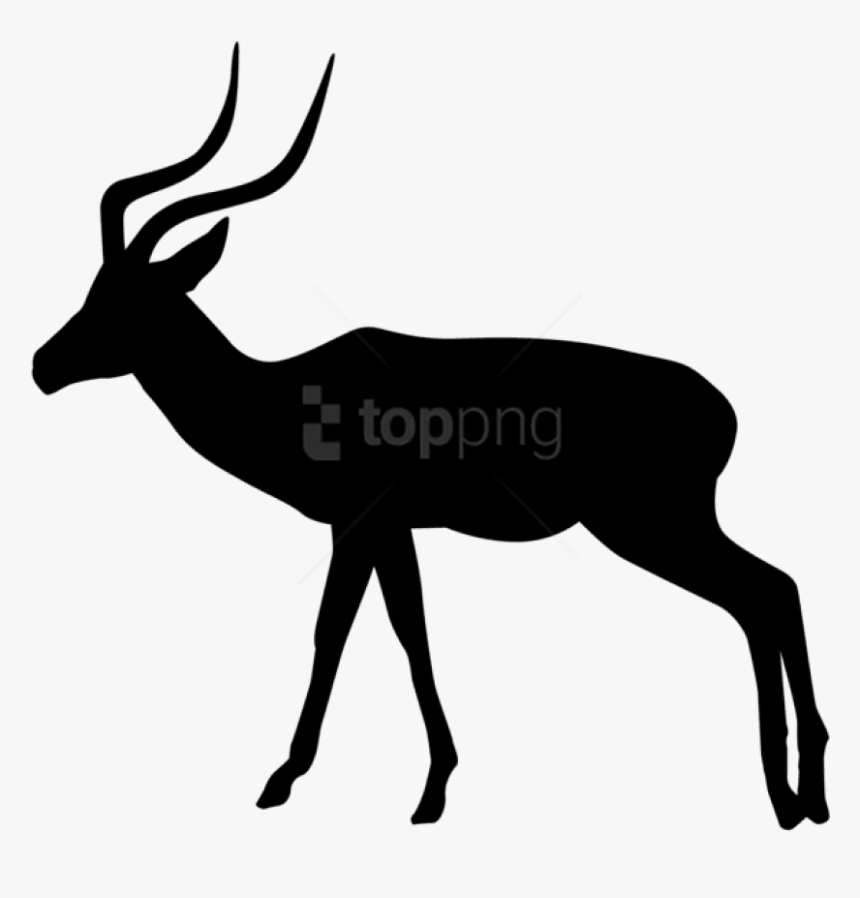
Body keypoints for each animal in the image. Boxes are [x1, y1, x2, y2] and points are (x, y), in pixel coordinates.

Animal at [32, 45, 829, 828]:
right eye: (93, 289)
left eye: (127, 301)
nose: (42, 365)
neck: (284, 395)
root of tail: (723, 409)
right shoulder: (389, 528)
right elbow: (406, 629)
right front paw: (429, 783)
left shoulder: (360, 522)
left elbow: (338, 631)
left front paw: (294, 779)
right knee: (773, 590)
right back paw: (806, 798)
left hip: (650, 524)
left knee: (764, 591)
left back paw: (790, 796)